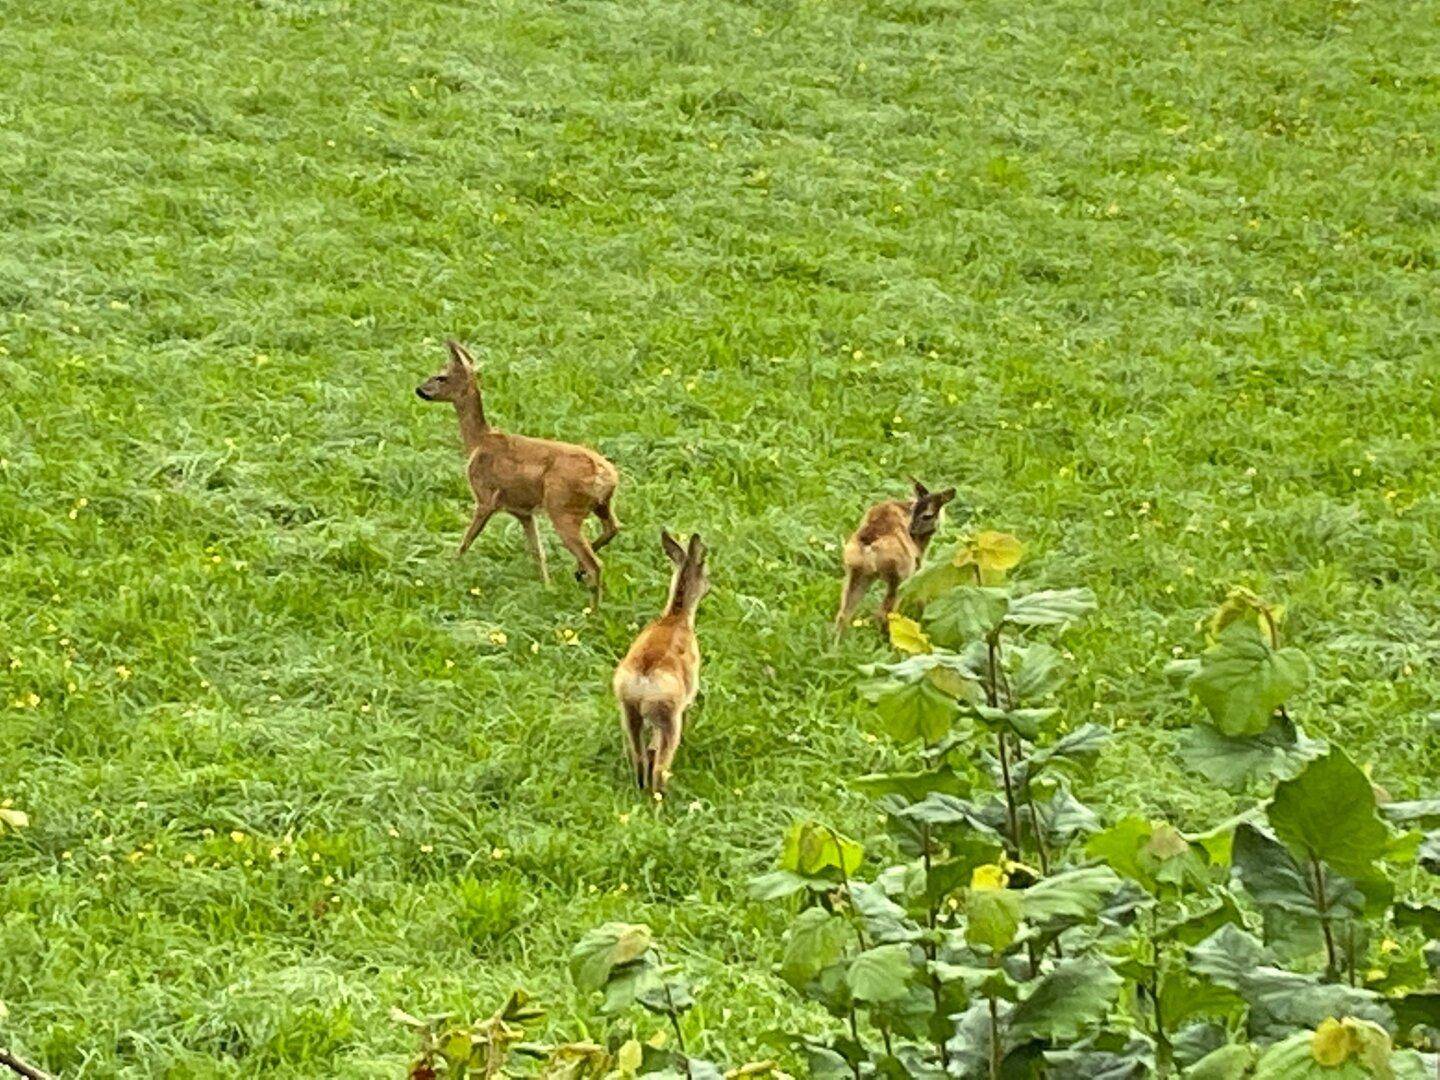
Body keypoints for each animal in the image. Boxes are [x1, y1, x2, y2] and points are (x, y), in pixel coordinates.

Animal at [414, 342, 622, 601]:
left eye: (440, 376)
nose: (419, 390)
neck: (479, 441)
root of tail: (607, 475)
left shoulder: (485, 497)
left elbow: (466, 540)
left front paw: (449, 570)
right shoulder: (523, 511)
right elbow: (537, 552)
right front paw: (547, 587)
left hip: (562, 508)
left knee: (596, 564)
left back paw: (590, 599)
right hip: (600, 504)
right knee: (613, 528)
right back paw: (578, 572)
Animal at [610, 532, 711, 794]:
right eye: (705, 569)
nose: (709, 586)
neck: (676, 617)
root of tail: (643, 680)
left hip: (629, 710)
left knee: (640, 754)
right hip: (669, 715)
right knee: (659, 763)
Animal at [835, 480, 956, 639]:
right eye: (927, 515)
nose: (911, 530)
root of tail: (869, 547)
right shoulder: (918, 562)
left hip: (856, 572)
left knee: (844, 614)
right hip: (898, 576)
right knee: (885, 613)